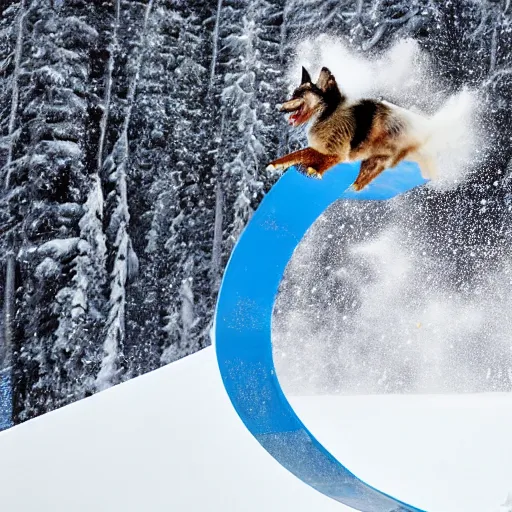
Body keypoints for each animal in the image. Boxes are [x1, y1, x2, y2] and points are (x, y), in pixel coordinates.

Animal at [266, 66, 438, 190]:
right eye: (293, 94)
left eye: (299, 95)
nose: (279, 107)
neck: (328, 113)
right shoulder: (323, 147)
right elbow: (297, 154)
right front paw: (275, 164)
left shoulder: (338, 152)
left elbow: (315, 158)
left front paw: (315, 171)